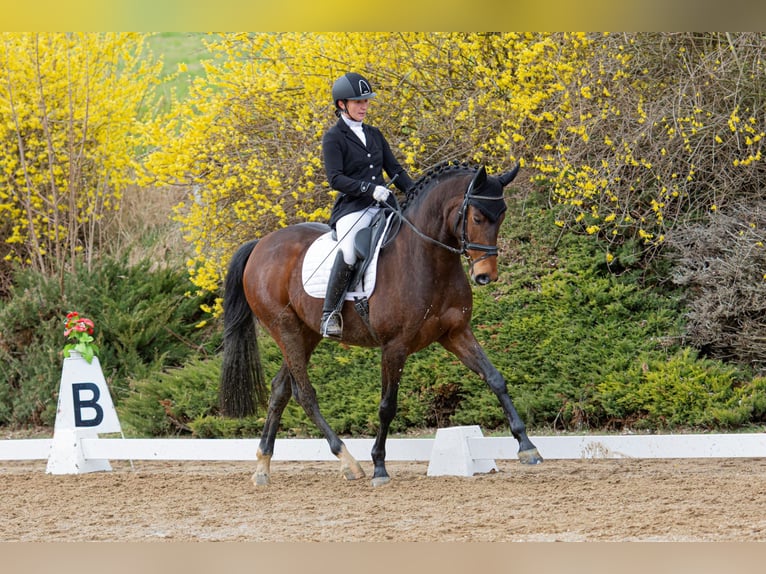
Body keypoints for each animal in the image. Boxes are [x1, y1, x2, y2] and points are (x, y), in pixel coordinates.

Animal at [220, 161, 544, 486]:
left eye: (501, 216)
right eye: (476, 217)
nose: (486, 276)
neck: (428, 257)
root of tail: (261, 244)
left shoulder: (456, 333)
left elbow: (495, 378)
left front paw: (527, 447)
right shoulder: (394, 346)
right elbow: (387, 406)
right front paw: (379, 466)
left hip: (306, 333)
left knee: (280, 390)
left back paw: (263, 466)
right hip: (285, 329)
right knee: (305, 393)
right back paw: (349, 462)